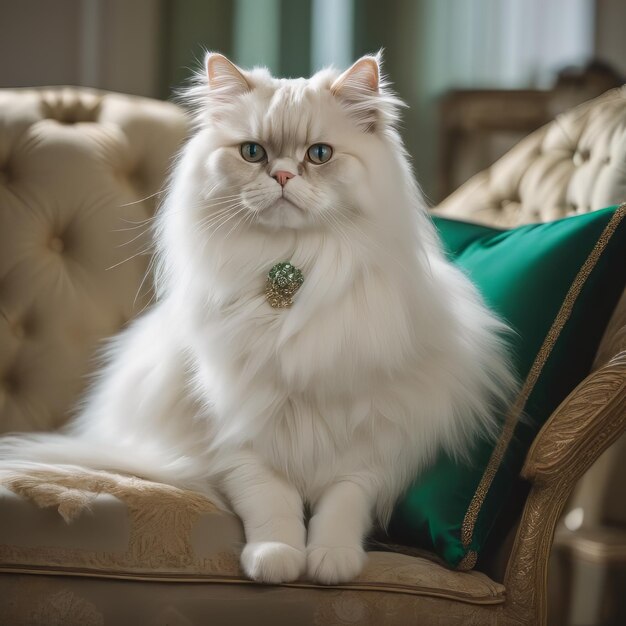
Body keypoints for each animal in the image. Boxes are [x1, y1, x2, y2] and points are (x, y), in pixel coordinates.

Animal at [0, 51, 512, 584]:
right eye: (252, 153)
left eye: (319, 155)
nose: (283, 176)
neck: (290, 269)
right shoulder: (239, 435)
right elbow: (272, 504)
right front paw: (277, 560)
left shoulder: (368, 439)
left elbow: (341, 506)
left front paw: (330, 562)